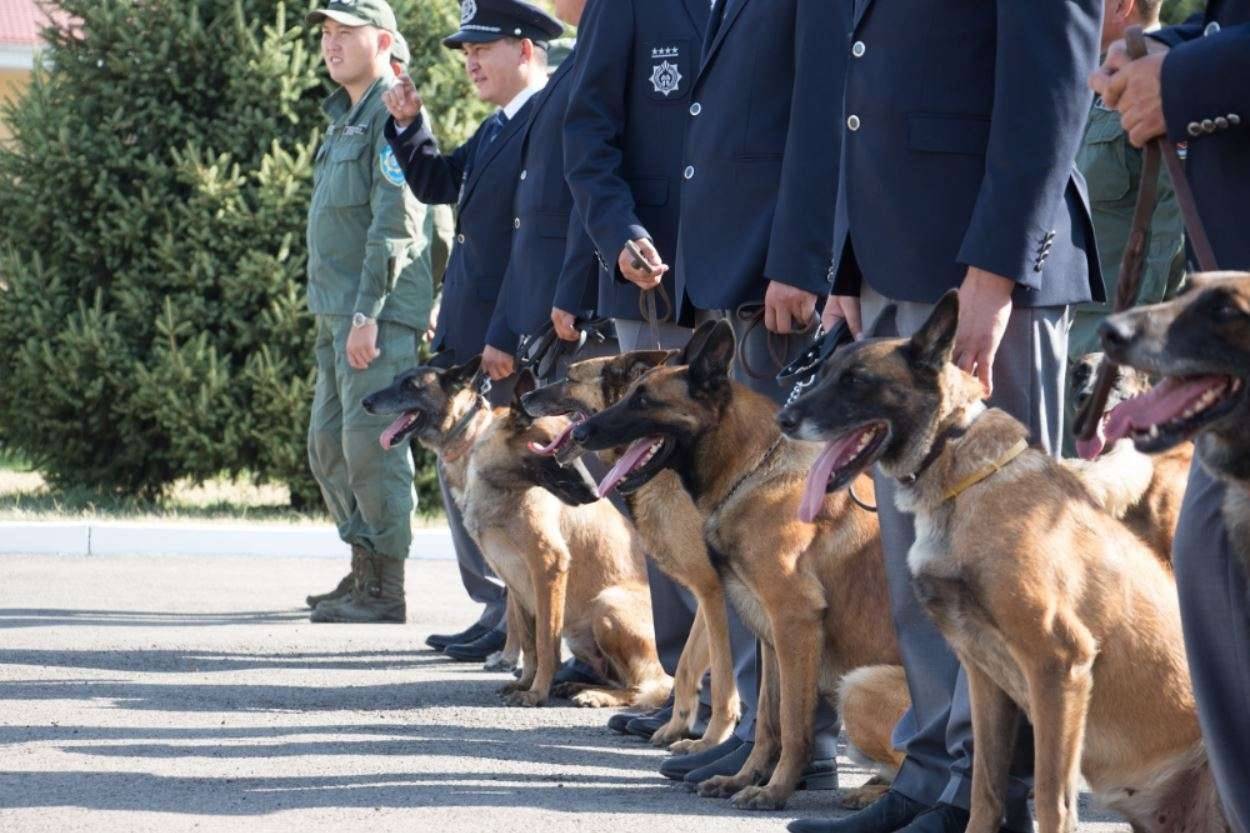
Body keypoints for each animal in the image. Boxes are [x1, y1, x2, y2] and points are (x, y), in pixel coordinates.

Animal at [365, 357, 675, 705]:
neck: (506, 486)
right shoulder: (515, 580)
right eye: (555, 453)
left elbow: (545, 642)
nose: (597, 493)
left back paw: (598, 696)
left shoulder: (548, 570)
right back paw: (579, 685)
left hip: (607, 606)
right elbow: (528, 641)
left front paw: (536, 693)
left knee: (650, 687)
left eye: (412, 386)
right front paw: (524, 681)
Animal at [520, 347, 740, 750]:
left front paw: (712, 738)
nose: (525, 397)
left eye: (570, 377)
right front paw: (677, 725)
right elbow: (686, 666)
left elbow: (721, 678)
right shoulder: (707, 596)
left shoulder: (719, 596)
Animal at [572, 318, 905, 810]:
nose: (579, 434)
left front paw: (774, 791)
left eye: (644, 400)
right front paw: (744, 778)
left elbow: (793, 725)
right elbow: (768, 722)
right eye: (630, 392)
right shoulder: (769, 636)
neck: (754, 471)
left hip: (859, 686)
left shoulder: (793, 623)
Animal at [775, 293, 1225, 833]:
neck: (958, 473)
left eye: (856, 380)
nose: (783, 419)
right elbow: (984, 789)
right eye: (825, 374)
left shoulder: (1059, 667)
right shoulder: (985, 678)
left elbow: (1052, 800)